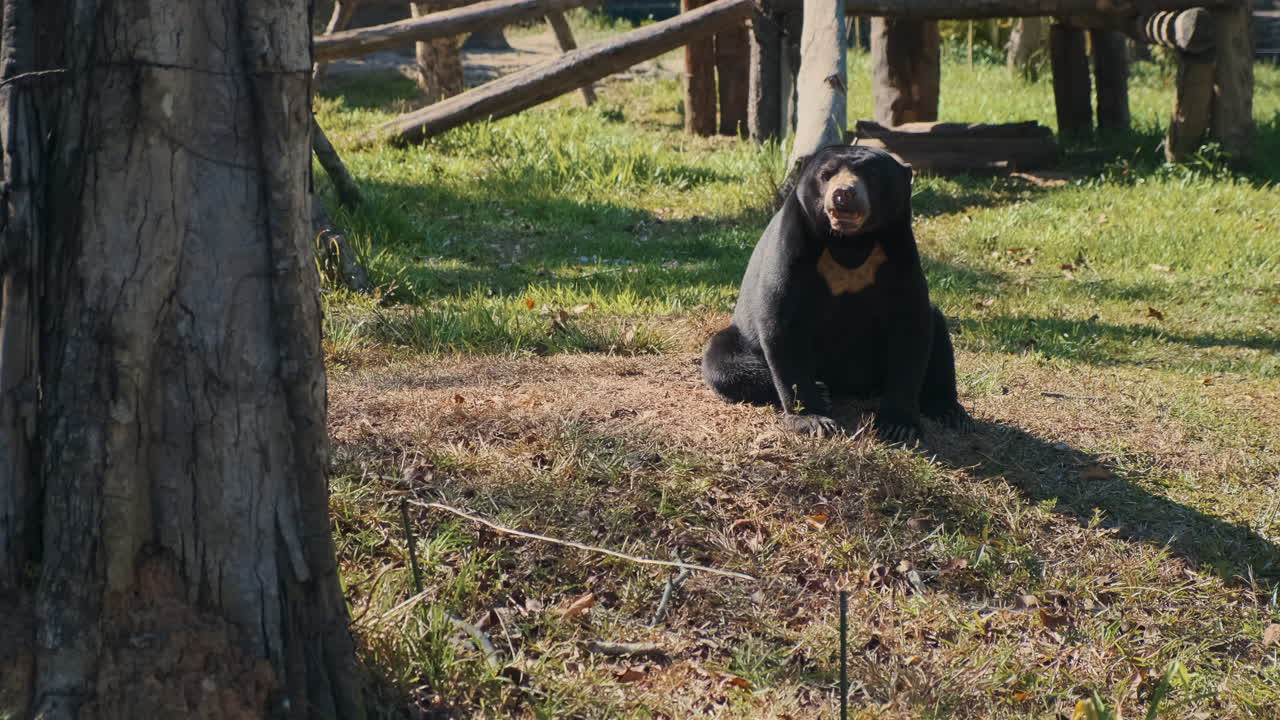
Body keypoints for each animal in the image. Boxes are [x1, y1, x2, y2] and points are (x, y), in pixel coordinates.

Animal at [701, 144, 970, 442]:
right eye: (826, 174)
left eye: (871, 175)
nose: (843, 194)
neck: (850, 242)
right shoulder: (793, 246)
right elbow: (782, 321)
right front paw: (813, 420)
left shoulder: (899, 250)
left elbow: (911, 326)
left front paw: (898, 425)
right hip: (740, 339)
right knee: (723, 363)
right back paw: (822, 389)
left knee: (937, 330)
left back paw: (948, 410)